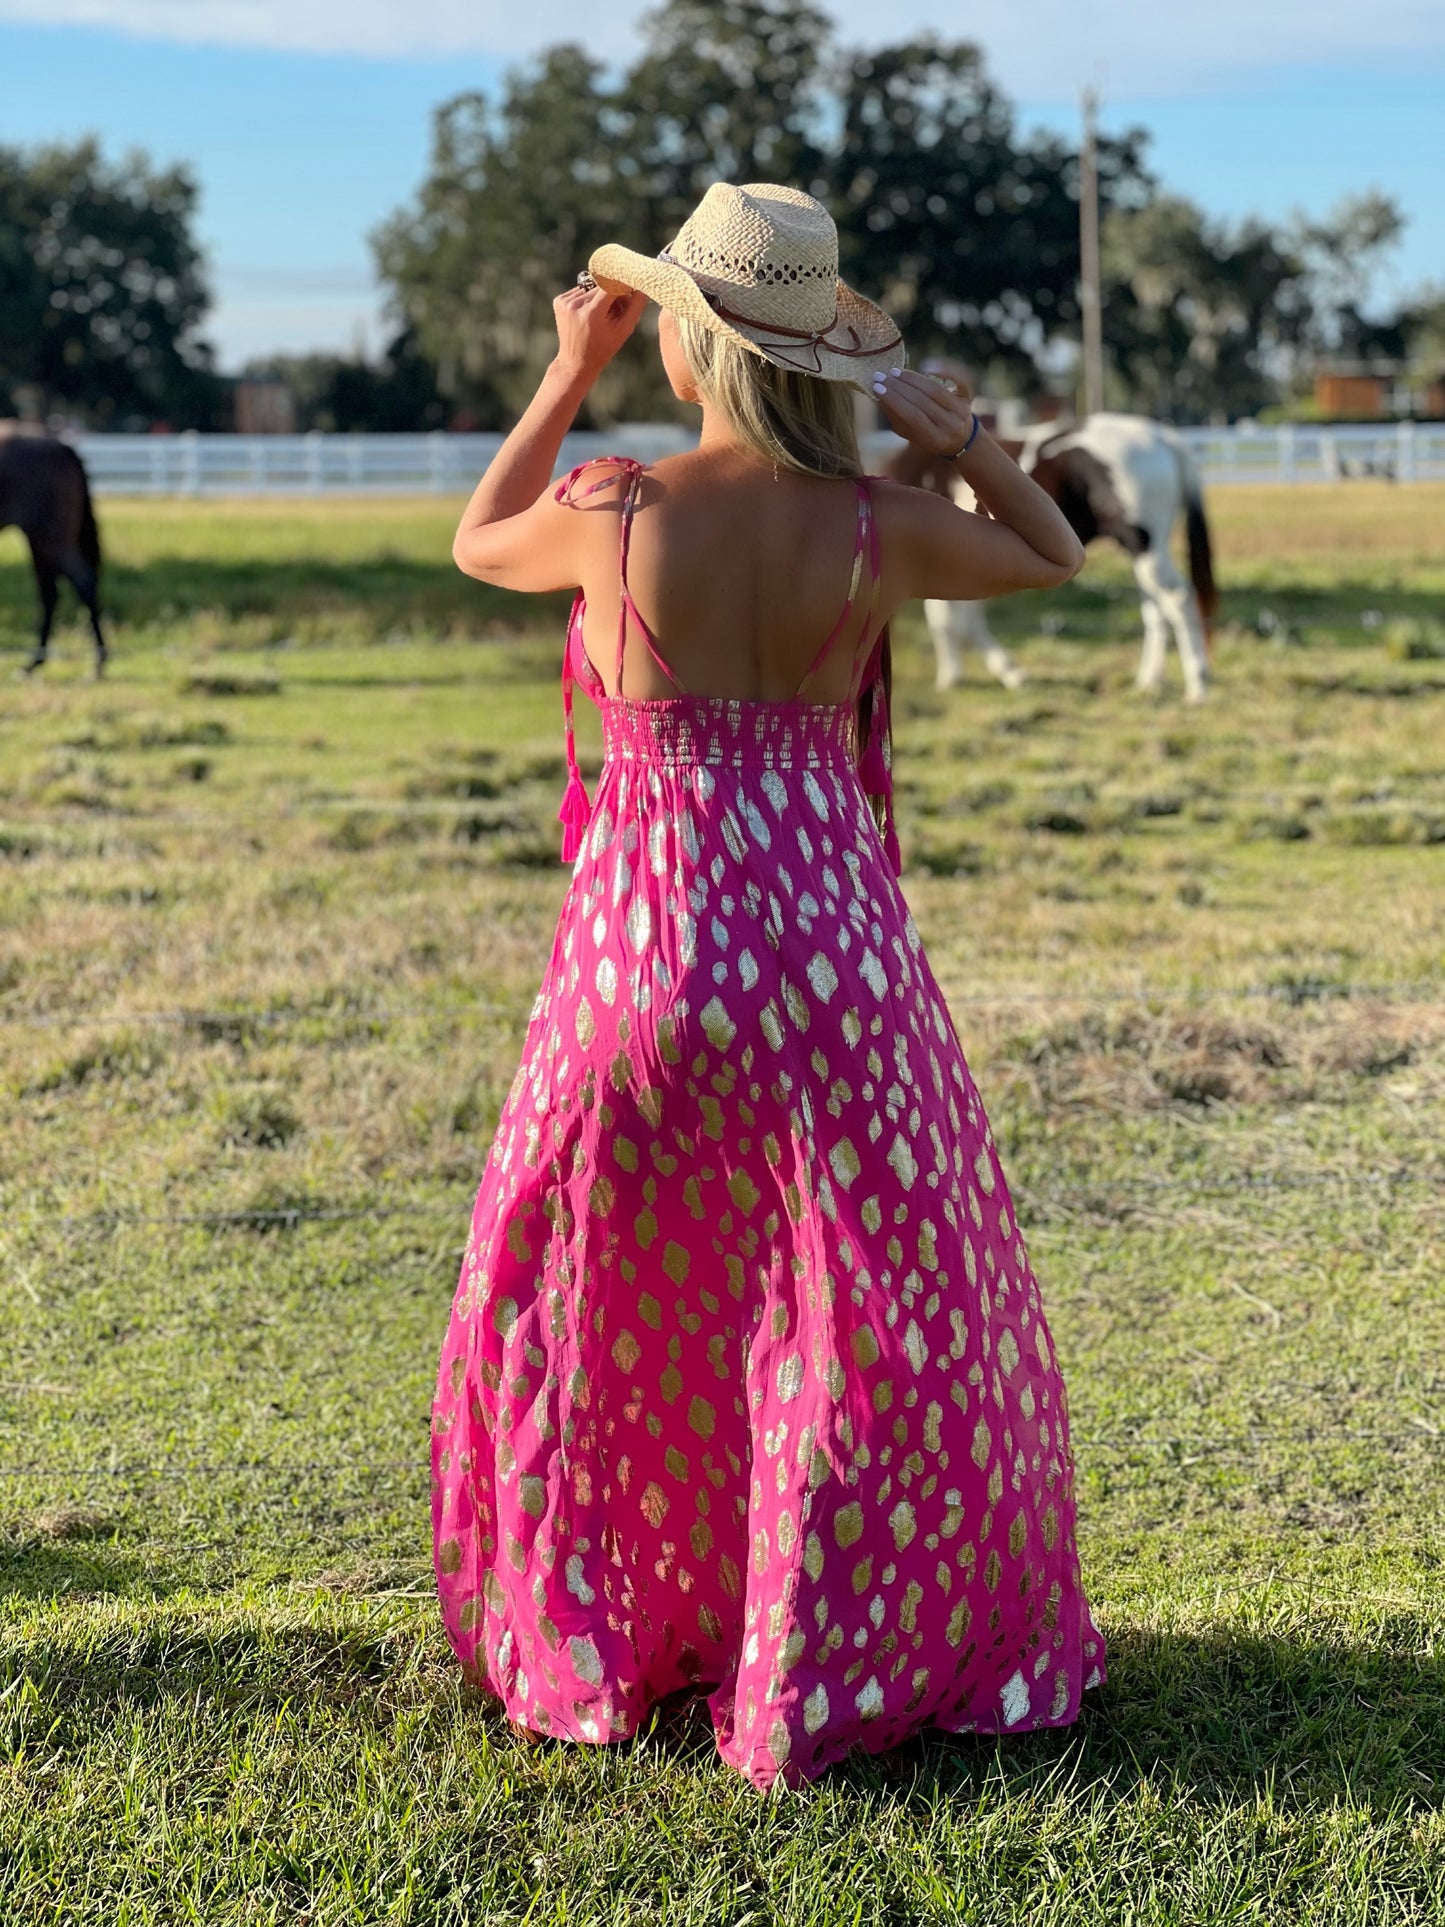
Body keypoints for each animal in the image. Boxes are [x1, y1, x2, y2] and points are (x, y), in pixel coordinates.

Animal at [0, 427, 107, 678]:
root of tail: (62, 447)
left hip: (51, 539)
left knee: (83, 582)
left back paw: (97, 663)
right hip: (40, 541)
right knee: (50, 593)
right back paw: (34, 663)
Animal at [893, 410, 1225, 705]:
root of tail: (1162, 436)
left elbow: (953, 619)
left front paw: (998, 673)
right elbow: (955, 618)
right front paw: (958, 674)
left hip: (1145, 545)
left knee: (1178, 599)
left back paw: (1198, 685)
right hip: (1141, 551)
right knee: (1155, 606)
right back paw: (1149, 681)